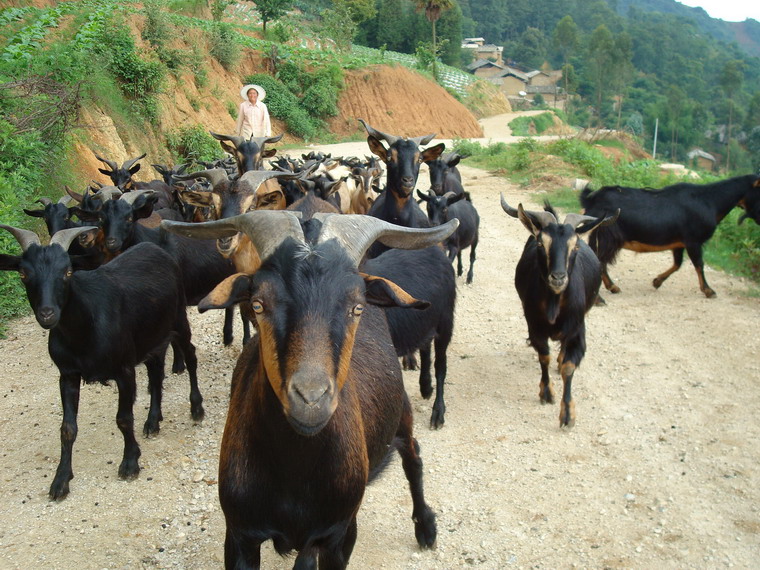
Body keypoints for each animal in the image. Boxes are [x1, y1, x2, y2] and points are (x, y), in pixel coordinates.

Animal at [0, 226, 203, 496]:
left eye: (67, 272)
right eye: (23, 273)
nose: (47, 314)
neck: (86, 329)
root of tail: (157, 248)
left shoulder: (124, 370)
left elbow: (124, 419)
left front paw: (130, 463)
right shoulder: (68, 374)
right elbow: (67, 428)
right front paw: (60, 480)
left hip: (178, 319)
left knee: (190, 356)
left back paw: (196, 408)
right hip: (151, 334)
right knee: (156, 371)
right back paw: (153, 421)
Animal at [162, 211, 458, 564]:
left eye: (357, 307)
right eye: (258, 304)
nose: (311, 399)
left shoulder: (339, 535)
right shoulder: (239, 534)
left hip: (401, 412)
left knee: (413, 455)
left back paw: (426, 526)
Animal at [504, 196, 616, 426]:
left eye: (575, 246)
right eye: (541, 243)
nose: (558, 277)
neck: (554, 305)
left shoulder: (578, 330)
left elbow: (568, 367)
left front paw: (567, 415)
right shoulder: (535, 327)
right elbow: (544, 357)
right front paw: (546, 393)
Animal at [580, 173, 760, 298]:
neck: (710, 202)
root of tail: (592, 199)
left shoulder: (679, 243)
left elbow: (677, 264)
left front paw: (657, 281)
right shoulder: (693, 241)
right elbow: (699, 264)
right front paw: (709, 291)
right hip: (608, 235)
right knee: (600, 259)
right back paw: (608, 289)